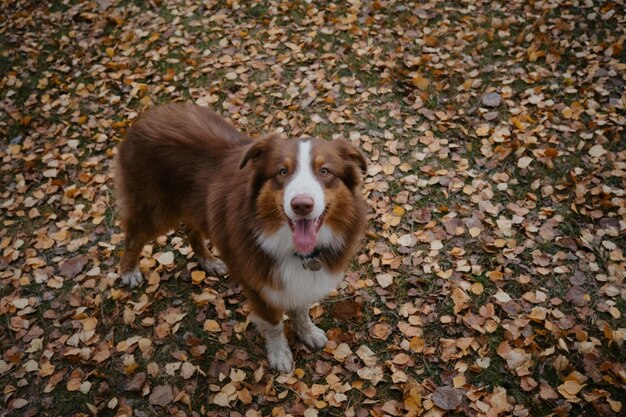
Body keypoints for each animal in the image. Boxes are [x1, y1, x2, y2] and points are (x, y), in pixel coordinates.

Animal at [114, 103, 366, 370]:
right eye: (282, 171)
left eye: (325, 171)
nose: (301, 205)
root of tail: (147, 113)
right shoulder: (257, 285)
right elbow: (274, 324)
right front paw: (280, 354)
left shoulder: (298, 281)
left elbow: (300, 310)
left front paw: (307, 332)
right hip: (155, 209)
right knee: (134, 237)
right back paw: (129, 271)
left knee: (191, 229)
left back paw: (208, 262)